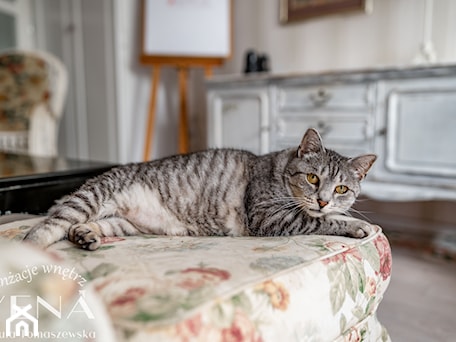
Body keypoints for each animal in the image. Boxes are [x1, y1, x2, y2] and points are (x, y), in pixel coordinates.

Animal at [23, 130, 376, 250]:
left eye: (341, 188)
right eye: (313, 179)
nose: (323, 199)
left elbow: (325, 217)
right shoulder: (269, 217)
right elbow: (320, 220)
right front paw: (357, 225)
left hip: (122, 223)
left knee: (82, 226)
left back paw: (86, 236)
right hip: (90, 198)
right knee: (50, 226)